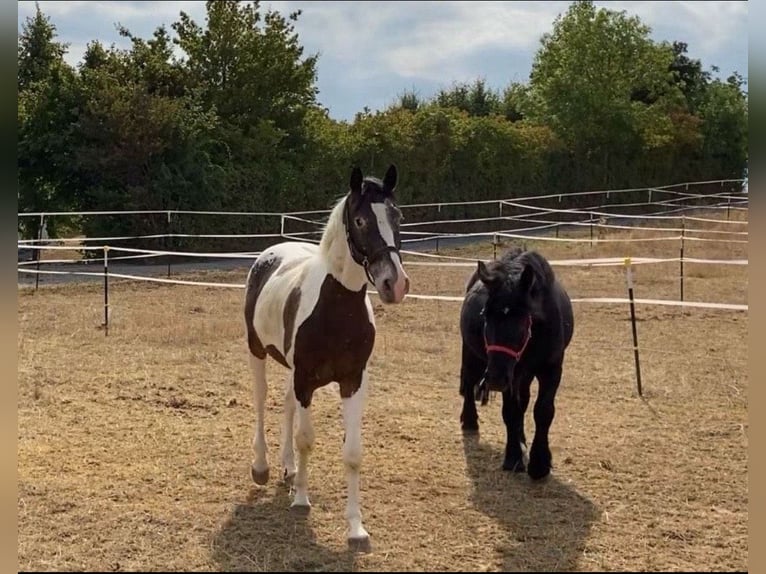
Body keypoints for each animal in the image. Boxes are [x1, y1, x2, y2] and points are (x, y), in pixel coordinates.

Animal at [246, 164, 414, 548]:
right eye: (361, 220)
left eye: (397, 215)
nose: (394, 284)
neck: (337, 310)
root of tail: (273, 252)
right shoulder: (306, 379)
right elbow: (306, 439)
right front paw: (301, 500)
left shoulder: (352, 381)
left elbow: (352, 453)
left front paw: (355, 527)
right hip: (257, 351)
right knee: (262, 400)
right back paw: (262, 467)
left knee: (287, 405)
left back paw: (288, 467)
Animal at [460, 248, 572, 482]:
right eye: (485, 315)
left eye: (523, 318)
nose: (494, 379)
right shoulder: (510, 374)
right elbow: (511, 411)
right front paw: (513, 457)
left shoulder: (551, 368)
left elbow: (543, 411)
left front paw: (539, 462)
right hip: (473, 355)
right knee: (468, 382)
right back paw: (470, 421)